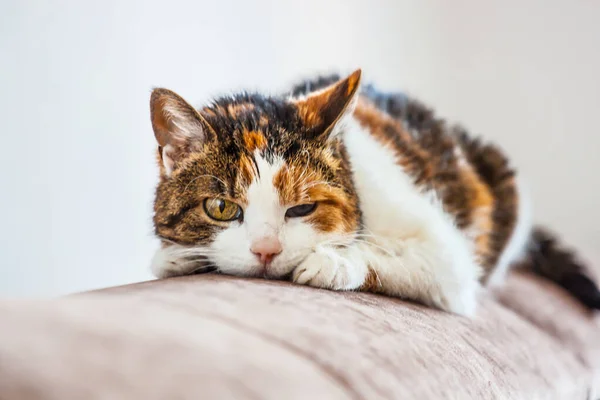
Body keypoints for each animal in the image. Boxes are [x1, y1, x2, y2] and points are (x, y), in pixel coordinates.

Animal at [148, 70, 596, 316]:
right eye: (221, 208)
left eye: (302, 208)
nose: (266, 251)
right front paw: (176, 257)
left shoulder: (449, 259)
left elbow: (399, 255)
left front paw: (334, 262)